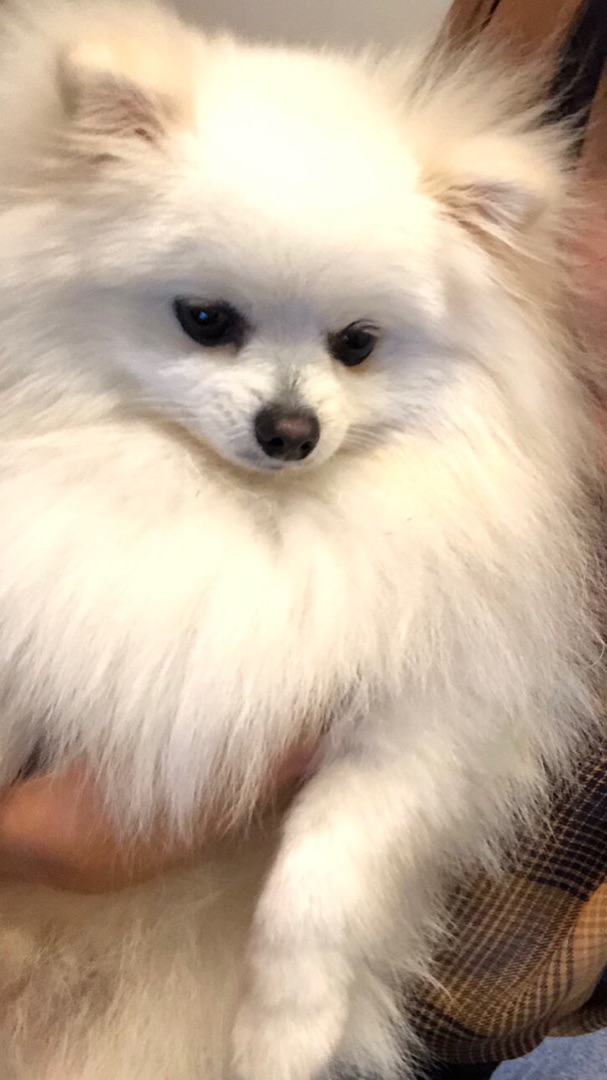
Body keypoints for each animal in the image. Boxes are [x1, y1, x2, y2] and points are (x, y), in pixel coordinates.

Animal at [0, 1, 601, 1078]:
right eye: (205, 320)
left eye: (356, 344)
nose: (290, 428)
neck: (248, 514)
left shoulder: (421, 718)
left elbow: (324, 883)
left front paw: (286, 1033)